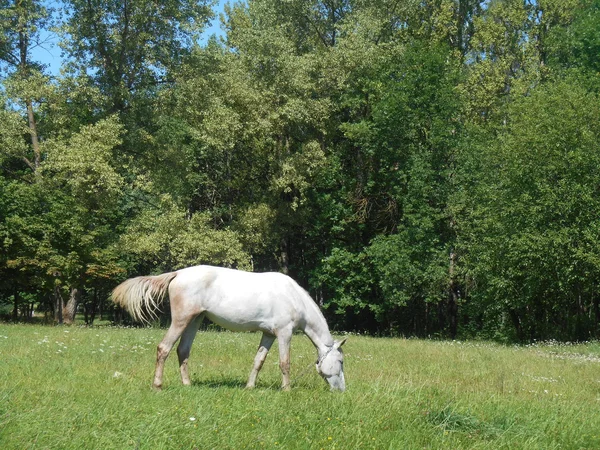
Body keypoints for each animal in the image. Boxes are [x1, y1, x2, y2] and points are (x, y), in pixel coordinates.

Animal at [111, 268, 346, 390]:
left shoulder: (269, 334)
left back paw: (187, 384)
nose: (342, 390)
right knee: (164, 348)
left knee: (183, 351)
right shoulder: (284, 333)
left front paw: (249, 386)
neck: (293, 297)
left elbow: (259, 360)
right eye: (341, 361)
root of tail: (178, 273)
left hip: (194, 320)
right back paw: (158, 385)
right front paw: (286, 389)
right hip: (181, 320)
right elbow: (284, 362)